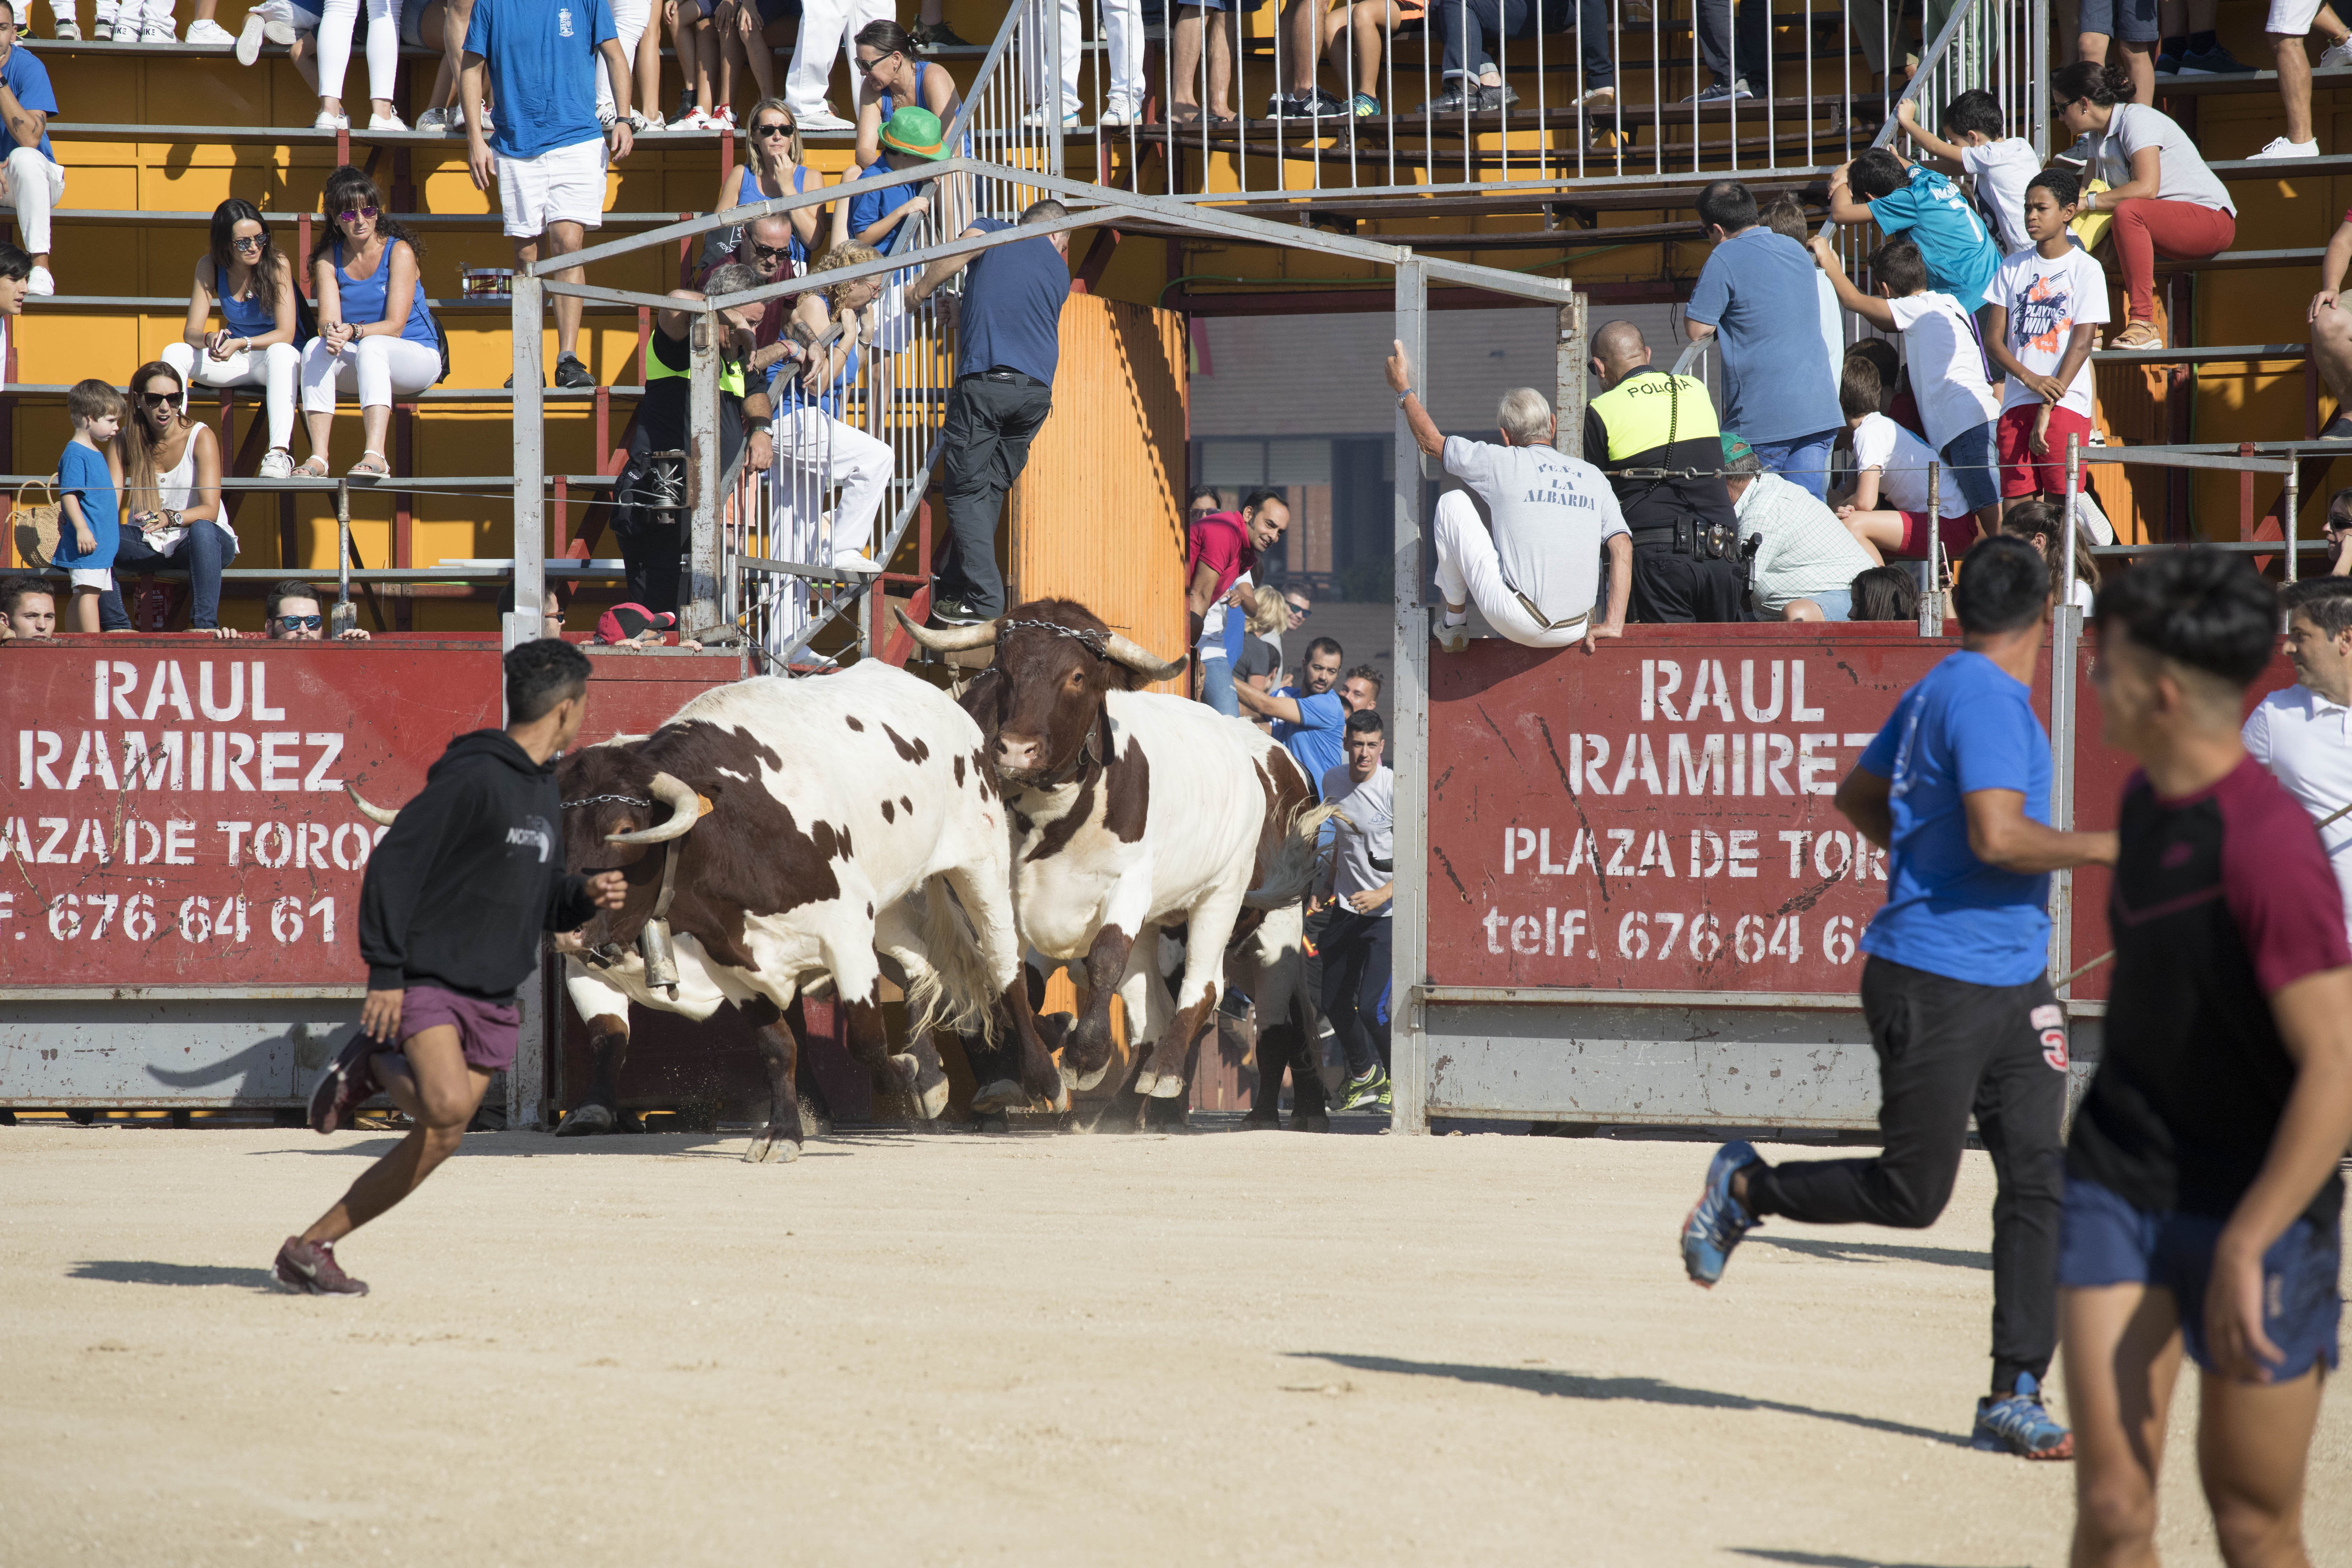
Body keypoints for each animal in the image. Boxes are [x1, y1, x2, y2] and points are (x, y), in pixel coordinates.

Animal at [898, 597, 1336, 1114]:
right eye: (1003, 669)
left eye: (1077, 676)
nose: (1016, 750)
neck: (1050, 821)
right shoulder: (986, 899)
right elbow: (1006, 981)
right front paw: (1031, 1071)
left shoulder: (1129, 884)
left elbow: (1105, 959)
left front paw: (1085, 1057)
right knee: (1160, 1011)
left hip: (1244, 912)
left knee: (1233, 1004)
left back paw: (1186, 1083)